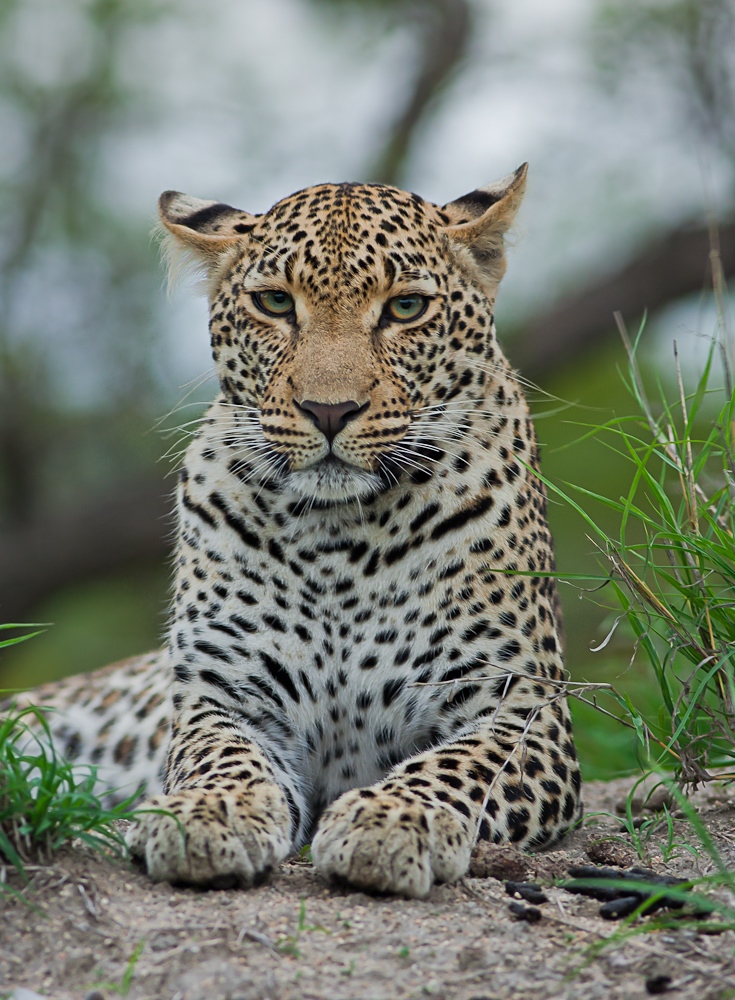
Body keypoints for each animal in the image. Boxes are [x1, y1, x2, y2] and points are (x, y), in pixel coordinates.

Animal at [12, 164, 580, 900]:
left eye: (405, 308)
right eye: (276, 303)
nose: (329, 410)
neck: (340, 539)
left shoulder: (522, 708)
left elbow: (457, 766)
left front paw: (393, 821)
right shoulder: (224, 697)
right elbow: (221, 758)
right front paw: (207, 813)